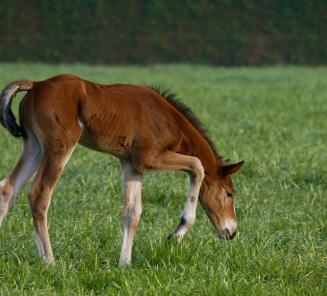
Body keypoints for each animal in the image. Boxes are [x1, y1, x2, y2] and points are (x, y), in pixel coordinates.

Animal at [0, 74, 245, 266]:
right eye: (229, 194)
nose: (231, 231)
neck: (166, 118)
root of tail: (36, 84)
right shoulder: (148, 158)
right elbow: (197, 165)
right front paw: (176, 235)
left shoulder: (131, 164)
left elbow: (132, 212)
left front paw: (125, 264)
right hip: (59, 146)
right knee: (39, 194)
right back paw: (49, 261)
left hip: (34, 145)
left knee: (8, 188)